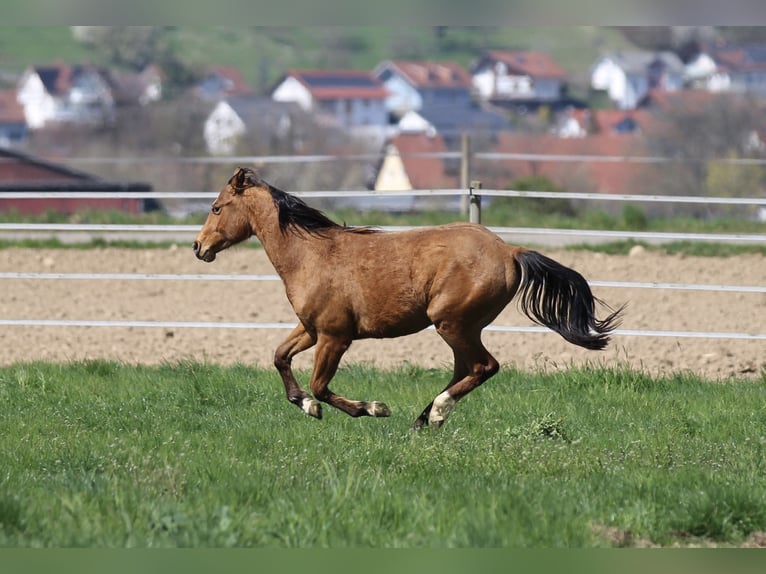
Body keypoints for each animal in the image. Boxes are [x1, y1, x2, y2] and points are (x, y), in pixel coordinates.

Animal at [193, 167, 625, 428]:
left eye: (216, 207)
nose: (199, 247)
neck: (311, 254)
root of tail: (510, 250)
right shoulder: (311, 329)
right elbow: (280, 357)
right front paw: (305, 405)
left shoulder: (335, 336)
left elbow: (320, 385)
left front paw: (371, 408)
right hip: (460, 327)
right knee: (466, 368)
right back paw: (423, 418)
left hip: (452, 322)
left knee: (485, 366)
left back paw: (435, 413)